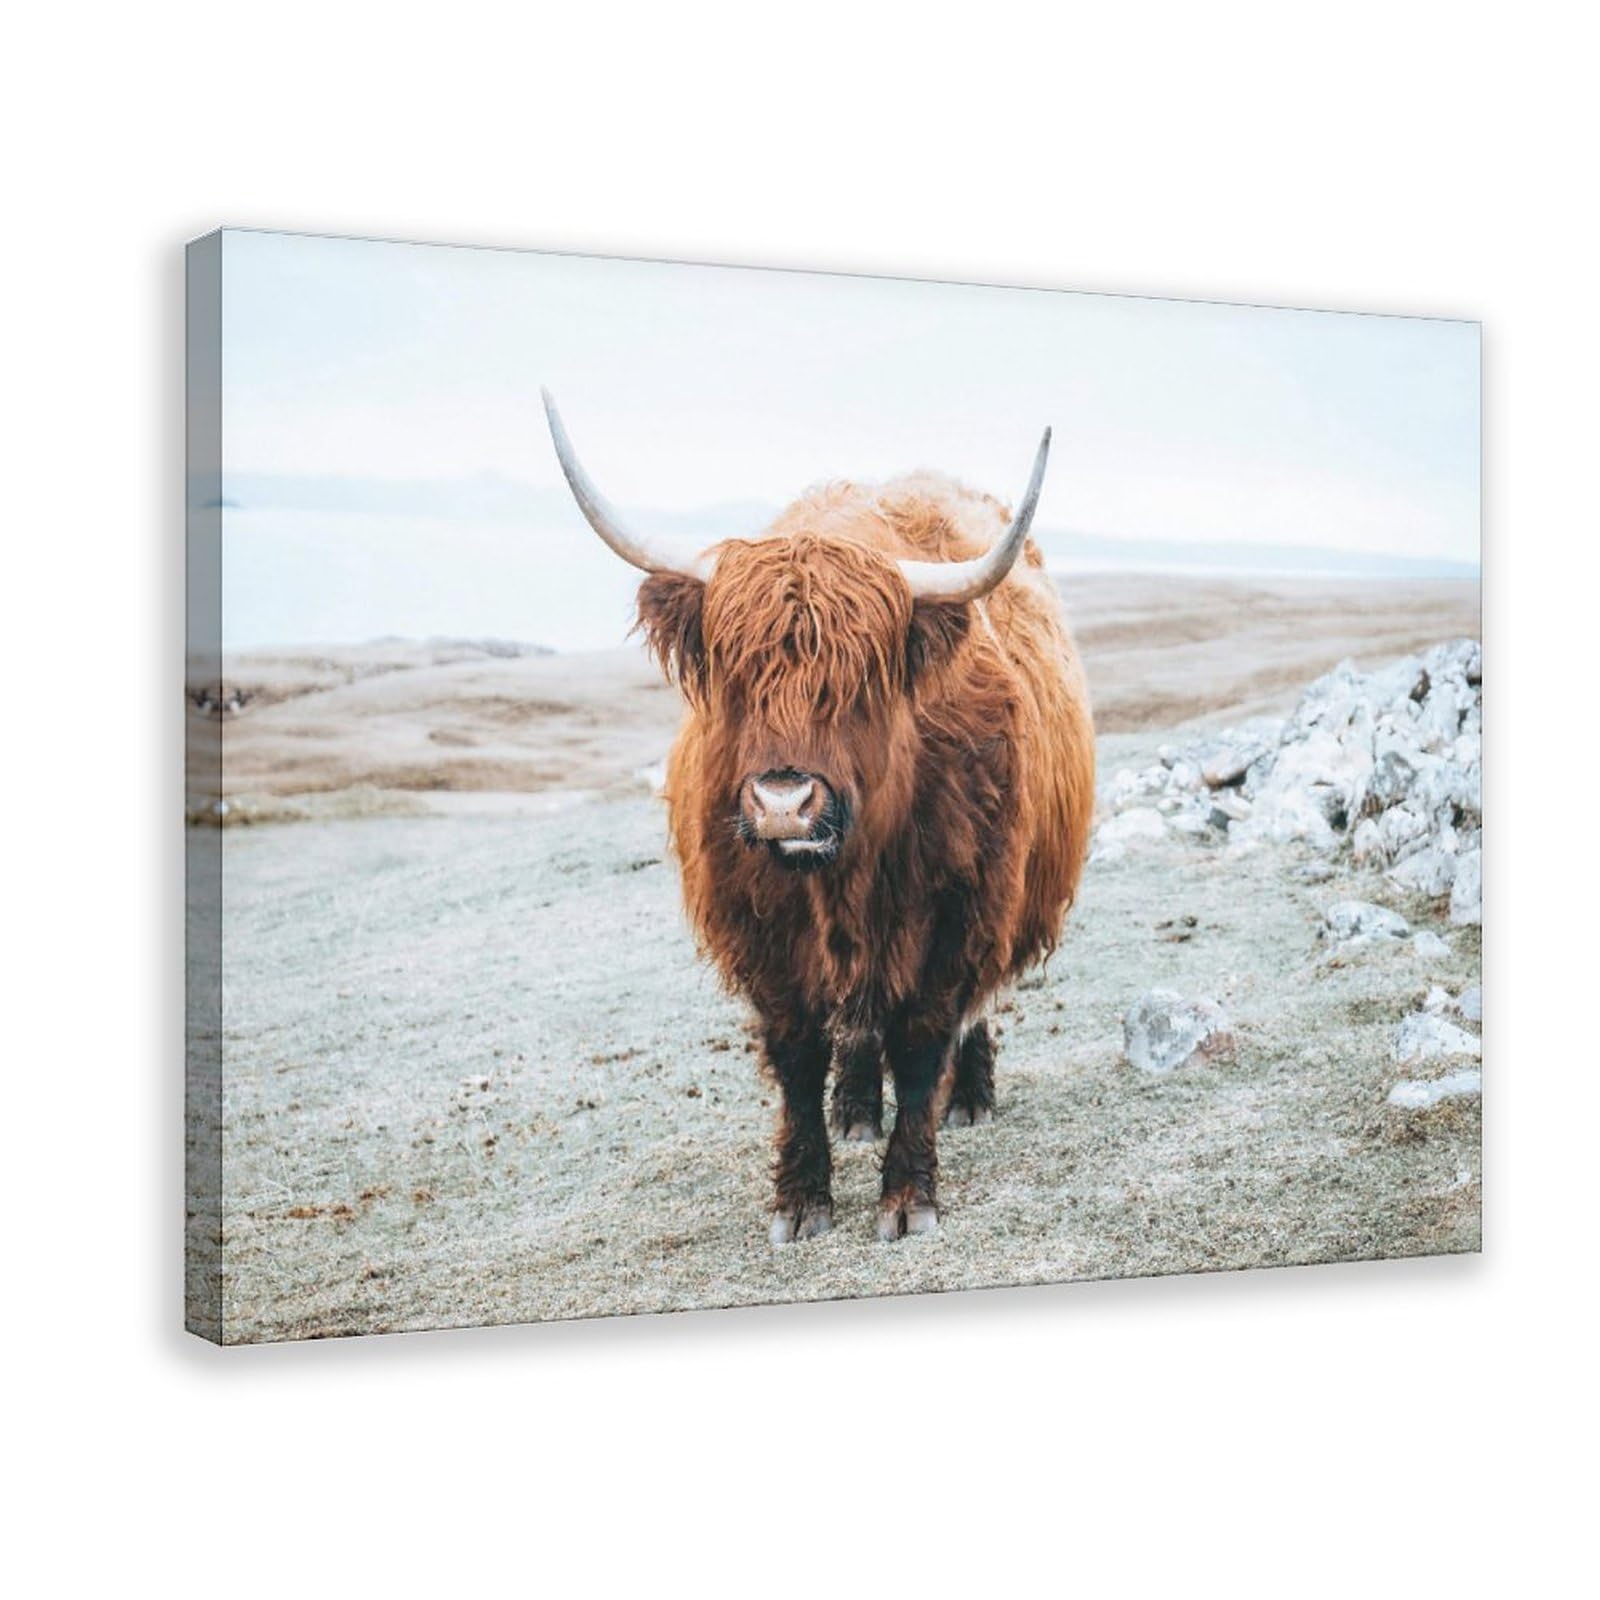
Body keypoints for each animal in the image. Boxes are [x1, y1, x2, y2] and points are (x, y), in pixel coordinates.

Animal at [543, 391, 1095, 1242]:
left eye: (859, 678)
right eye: (735, 671)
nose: (783, 804)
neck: (840, 875)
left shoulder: (958, 913)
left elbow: (924, 1041)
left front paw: (908, 1196)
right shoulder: (764, 937)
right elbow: (798, 1056)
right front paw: (801, 1199)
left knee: (966, 1011)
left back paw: (968, 1098)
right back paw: (856, 1111)